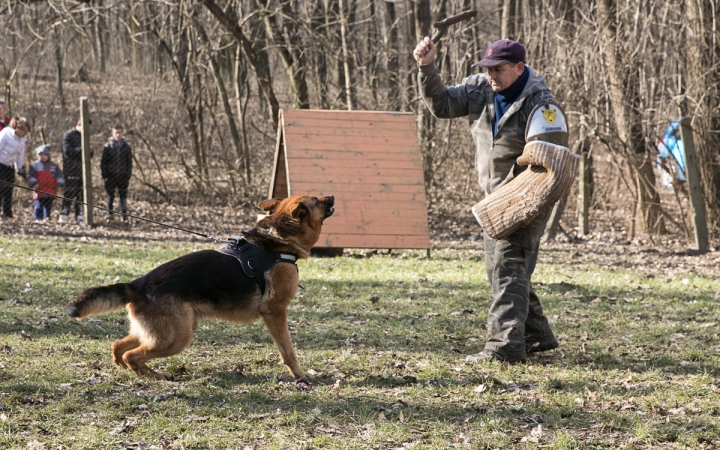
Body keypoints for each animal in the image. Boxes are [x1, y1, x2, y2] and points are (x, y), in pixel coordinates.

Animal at [64, 195, 334, 382]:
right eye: (317, 200)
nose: (331, 196)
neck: (276, 242)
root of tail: (138, 285)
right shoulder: (276, 312)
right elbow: (288, 350)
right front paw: (301, 375)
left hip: (163, 332)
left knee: (118, 347)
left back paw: (128, 370)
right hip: (177, 338)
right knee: (132, 355)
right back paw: (158, 376)